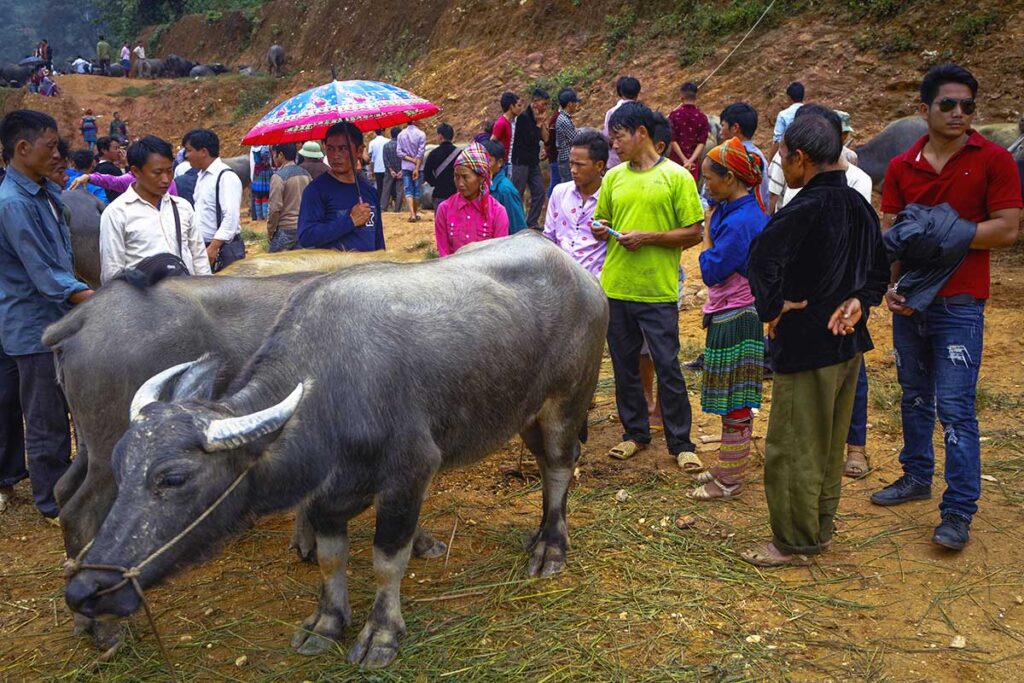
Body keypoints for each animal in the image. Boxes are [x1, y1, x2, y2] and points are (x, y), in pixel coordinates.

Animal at [64, 233, 606, 667]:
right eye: (123, 466)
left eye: (173, 478)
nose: (84, 589)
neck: (331, 390)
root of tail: (579, 273)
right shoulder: (326, 494)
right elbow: (330, 559)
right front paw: (326, 623)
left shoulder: (409, 474)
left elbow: (388, 559)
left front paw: (380, 635)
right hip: (526, 411)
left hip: (567, 401)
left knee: (560, 466)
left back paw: (550, 547)